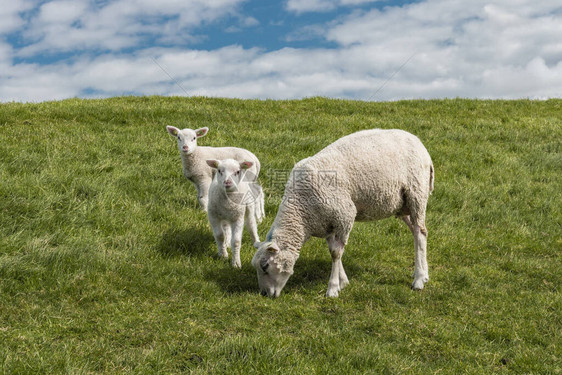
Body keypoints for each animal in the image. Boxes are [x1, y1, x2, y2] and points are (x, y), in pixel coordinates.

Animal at [250, 130, 434, 300]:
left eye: (265, 266)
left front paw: (332, 288)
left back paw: (418, 280)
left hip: (416, 194)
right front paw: (343, 281)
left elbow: (336, 253)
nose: (264, 294)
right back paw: (423, 274)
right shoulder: (327, 223)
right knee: (419, 233)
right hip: (402, 206)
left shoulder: (345, 215)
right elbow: (333, 250)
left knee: (419, 232)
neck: (302, 213)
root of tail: (419, 143)